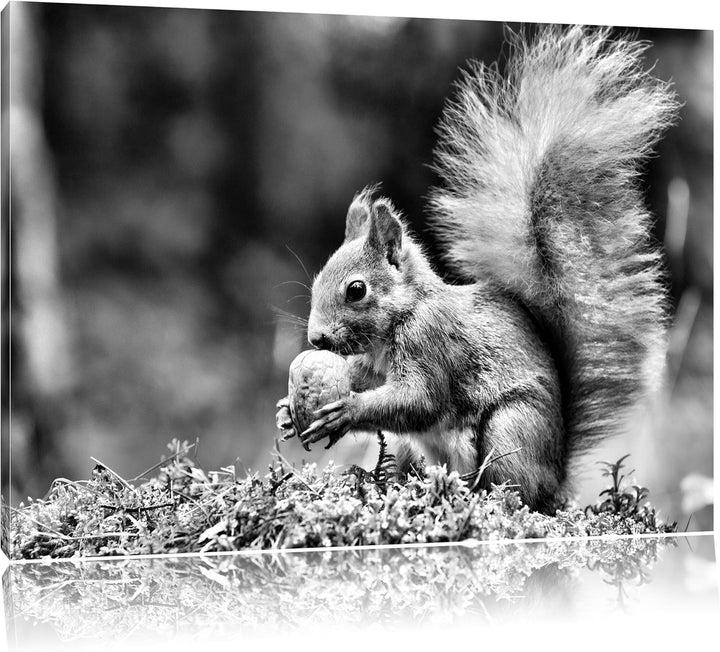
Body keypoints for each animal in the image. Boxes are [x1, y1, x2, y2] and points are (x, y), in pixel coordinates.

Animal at [276, 25, 678, 514]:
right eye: (317, 280)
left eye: (356, 290)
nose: (316, 338)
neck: (405, 313)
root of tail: (556, 477)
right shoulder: (374, 365)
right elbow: (366, 380)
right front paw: (286, 410)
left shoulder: (432, 343)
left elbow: (419, 401)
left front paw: (346, 410)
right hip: (420, 448)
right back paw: (394, 482)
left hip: (512, 429)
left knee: (512, 488)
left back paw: (479, 497)